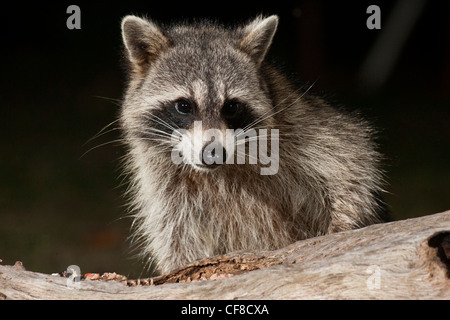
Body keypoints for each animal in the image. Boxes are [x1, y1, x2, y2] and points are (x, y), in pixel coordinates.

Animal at [121, 15, 388, 274]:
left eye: (231, 106)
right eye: (184, 106)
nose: (213, 153)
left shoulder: (299, 118)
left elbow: (350, 159)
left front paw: (346, 221)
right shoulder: (162, 181)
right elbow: (174, 232)